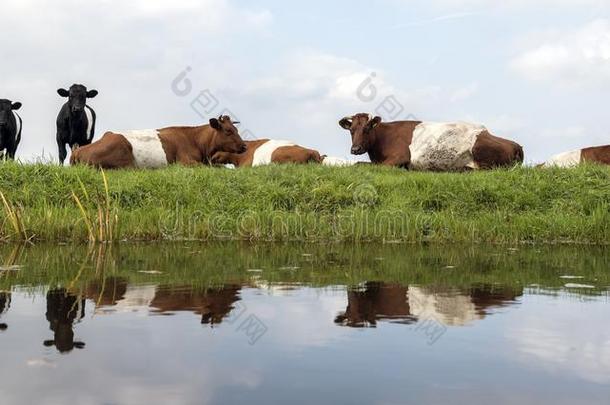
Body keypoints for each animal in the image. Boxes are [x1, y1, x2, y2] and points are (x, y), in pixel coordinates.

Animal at [338, 113, 524, 170]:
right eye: (351, 130)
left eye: (367, 129)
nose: (355, 149)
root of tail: (516, 144)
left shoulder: (400, 157)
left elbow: (360, 165)